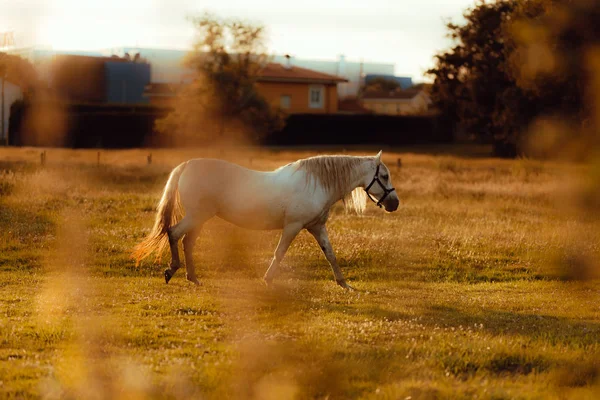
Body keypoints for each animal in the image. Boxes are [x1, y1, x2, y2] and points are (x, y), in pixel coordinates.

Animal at [134, 150, 400, 288]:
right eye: (385, 176)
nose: (394, 204)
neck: (315, 183)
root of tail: (187, 165)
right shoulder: (293, 226)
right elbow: (279, 253)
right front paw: (268, 279)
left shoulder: (316, 227)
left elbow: (330, 254)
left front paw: (343, 283)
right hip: (197, 216)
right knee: (174, 233)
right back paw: (171, 271)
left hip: (200, 218)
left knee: (186, 242)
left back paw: (193, 278)